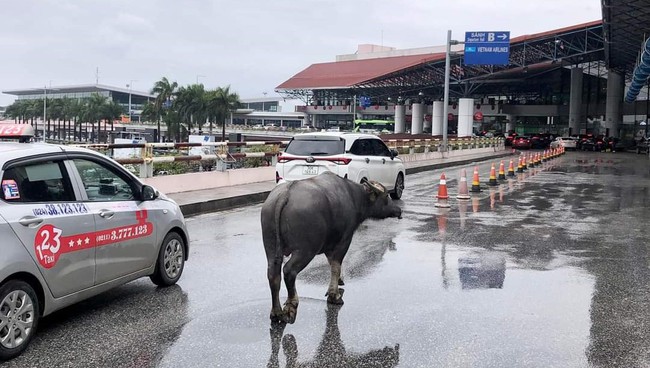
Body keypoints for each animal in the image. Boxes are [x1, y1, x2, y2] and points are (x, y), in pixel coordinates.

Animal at [258, 171, 400, 324]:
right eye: (386, 196)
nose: (398, 210)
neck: (354, 197)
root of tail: (285, 194)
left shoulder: (329, 246)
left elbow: (333, 265)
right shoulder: (343, 241)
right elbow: (336, 266)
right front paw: (334, 296)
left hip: (270, 247)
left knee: (273, 275)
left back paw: (276, 312)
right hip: (305, 250)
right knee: (289, 271)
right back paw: (291, 306)